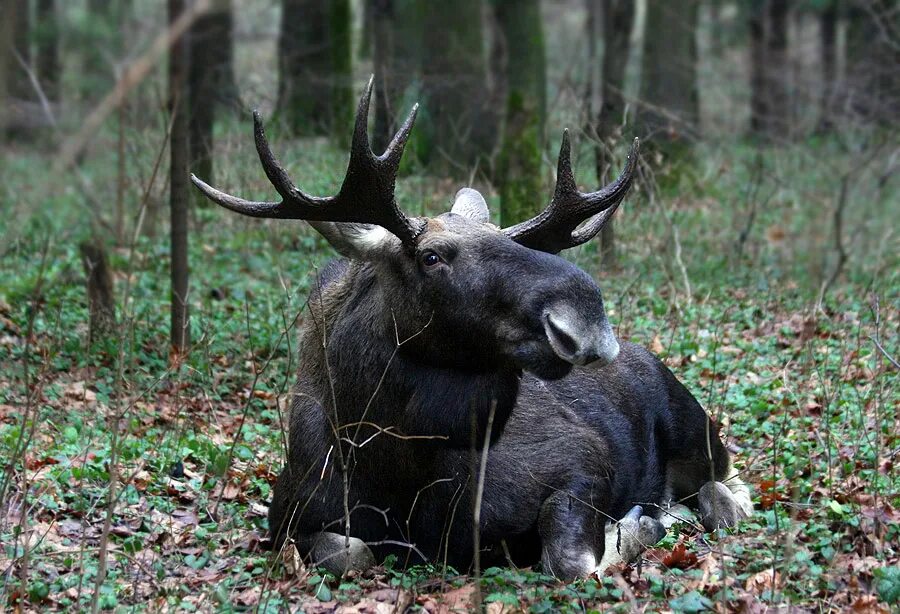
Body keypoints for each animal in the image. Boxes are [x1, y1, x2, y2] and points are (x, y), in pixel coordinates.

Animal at [195, 79, 752, 580]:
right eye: (431, 256)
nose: (586, 316)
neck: (389, 466)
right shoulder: (290, 517)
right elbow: (349, 552)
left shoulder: (583, 461)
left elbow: (569, 560)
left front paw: (635, 528)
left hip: (693, 428)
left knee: (726, 489)